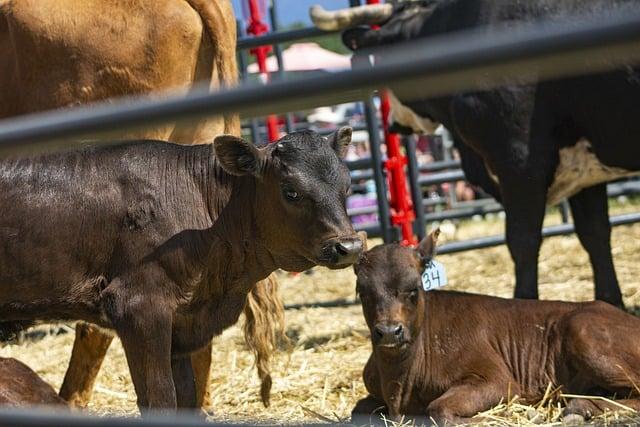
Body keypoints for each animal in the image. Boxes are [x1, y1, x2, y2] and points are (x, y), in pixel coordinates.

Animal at [312, 0, 640, 308]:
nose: (392, 121)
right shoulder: (581, 167)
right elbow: (595, 233)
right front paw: (610, 303)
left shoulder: (519, 162)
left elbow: (522, 239)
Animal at [352, 232, 640, 426]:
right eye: (362, 293)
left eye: (413, 290)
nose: (389, 331)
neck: (399, 386)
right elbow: (358, 411)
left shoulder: (497, 379)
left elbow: (439, 409)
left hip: (585, 334)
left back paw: (579, 407)